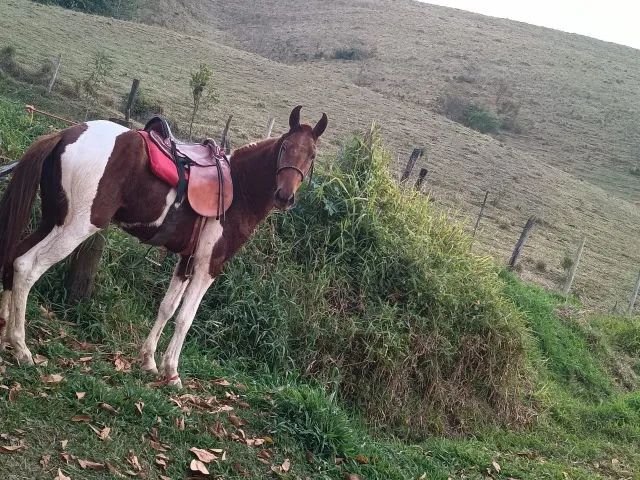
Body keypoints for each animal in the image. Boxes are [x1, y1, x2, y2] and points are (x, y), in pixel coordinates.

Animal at [0, 105, 327, 387]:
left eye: (312, 155)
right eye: (285, 147)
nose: (285, 196)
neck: (239, 189)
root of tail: (67, 133)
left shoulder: (186, 261)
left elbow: (167, 308)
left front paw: (149, 362)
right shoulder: (209, 266)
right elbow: (185, 318)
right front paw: (172, 372)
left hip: (52, 220)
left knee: (13, 258)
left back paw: (5, 331)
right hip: (76, 227)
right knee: (27, 266)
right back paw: (21, 347)